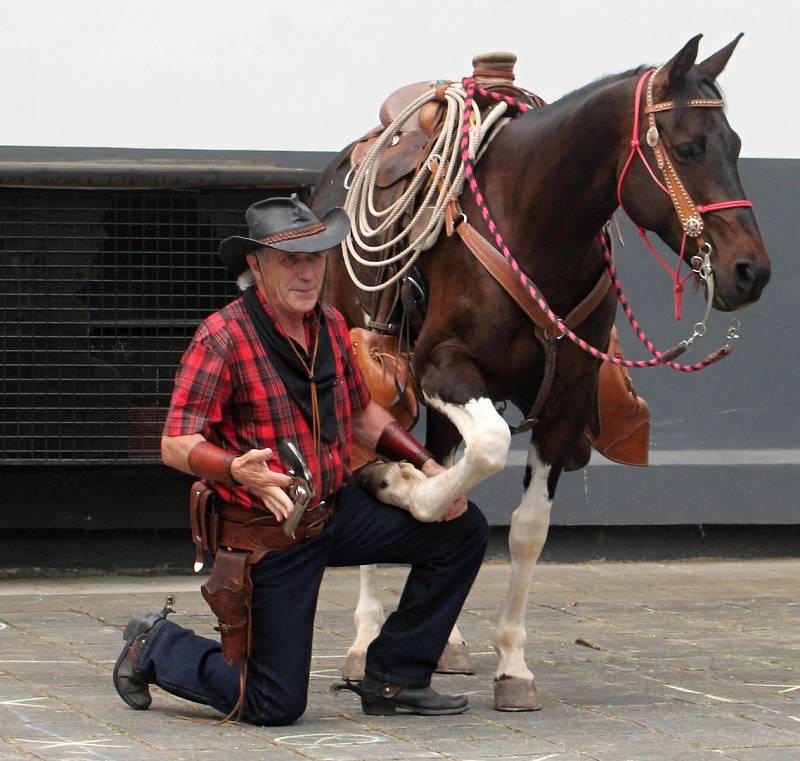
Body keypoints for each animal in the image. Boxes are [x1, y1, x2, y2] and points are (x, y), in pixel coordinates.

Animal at [310, 37, 768, 712]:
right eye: (687, 147)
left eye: (735, 145)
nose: (751, 271)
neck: (534, 223)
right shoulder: (440, 365)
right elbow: (483, 449)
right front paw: (405, 491)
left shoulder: (568, 403)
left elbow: (528, 529)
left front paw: (512, 666)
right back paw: (366, 636)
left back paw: (445, 644)